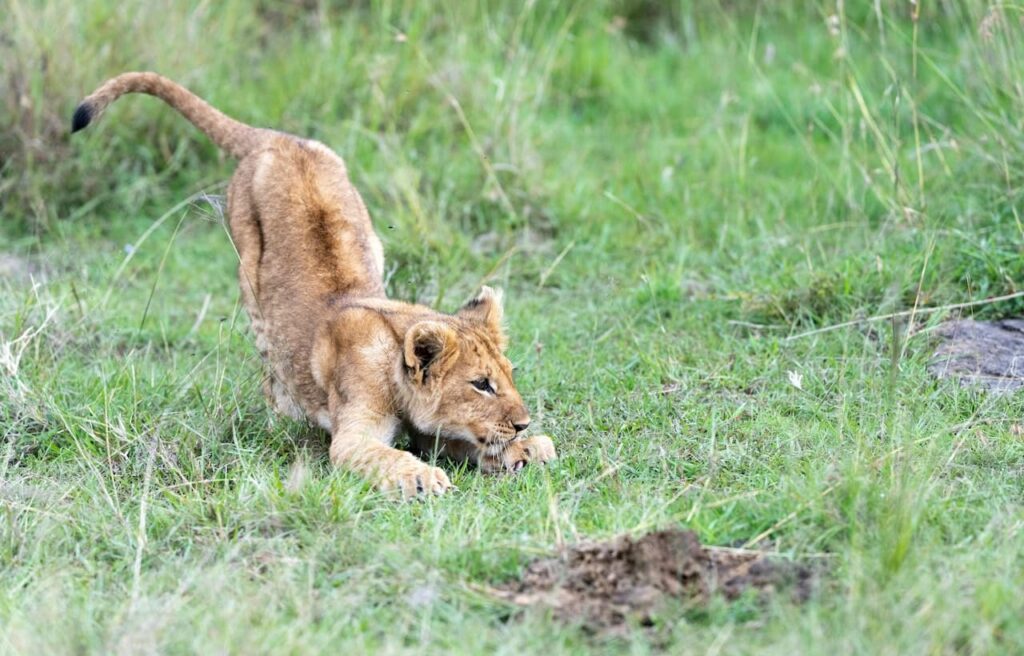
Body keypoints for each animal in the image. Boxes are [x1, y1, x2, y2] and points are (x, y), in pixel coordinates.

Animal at [71, 72, 555, 497]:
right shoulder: (351, 437)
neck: (392, 361)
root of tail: (275, 138)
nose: (524, 422)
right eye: (481, 384)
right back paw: (285, 416)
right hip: (251, 282)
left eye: (508, 375)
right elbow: (387, 456)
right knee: (271, 368)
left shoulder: (433, 432)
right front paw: (423, 477)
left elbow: (468, 442)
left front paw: (529, 448)